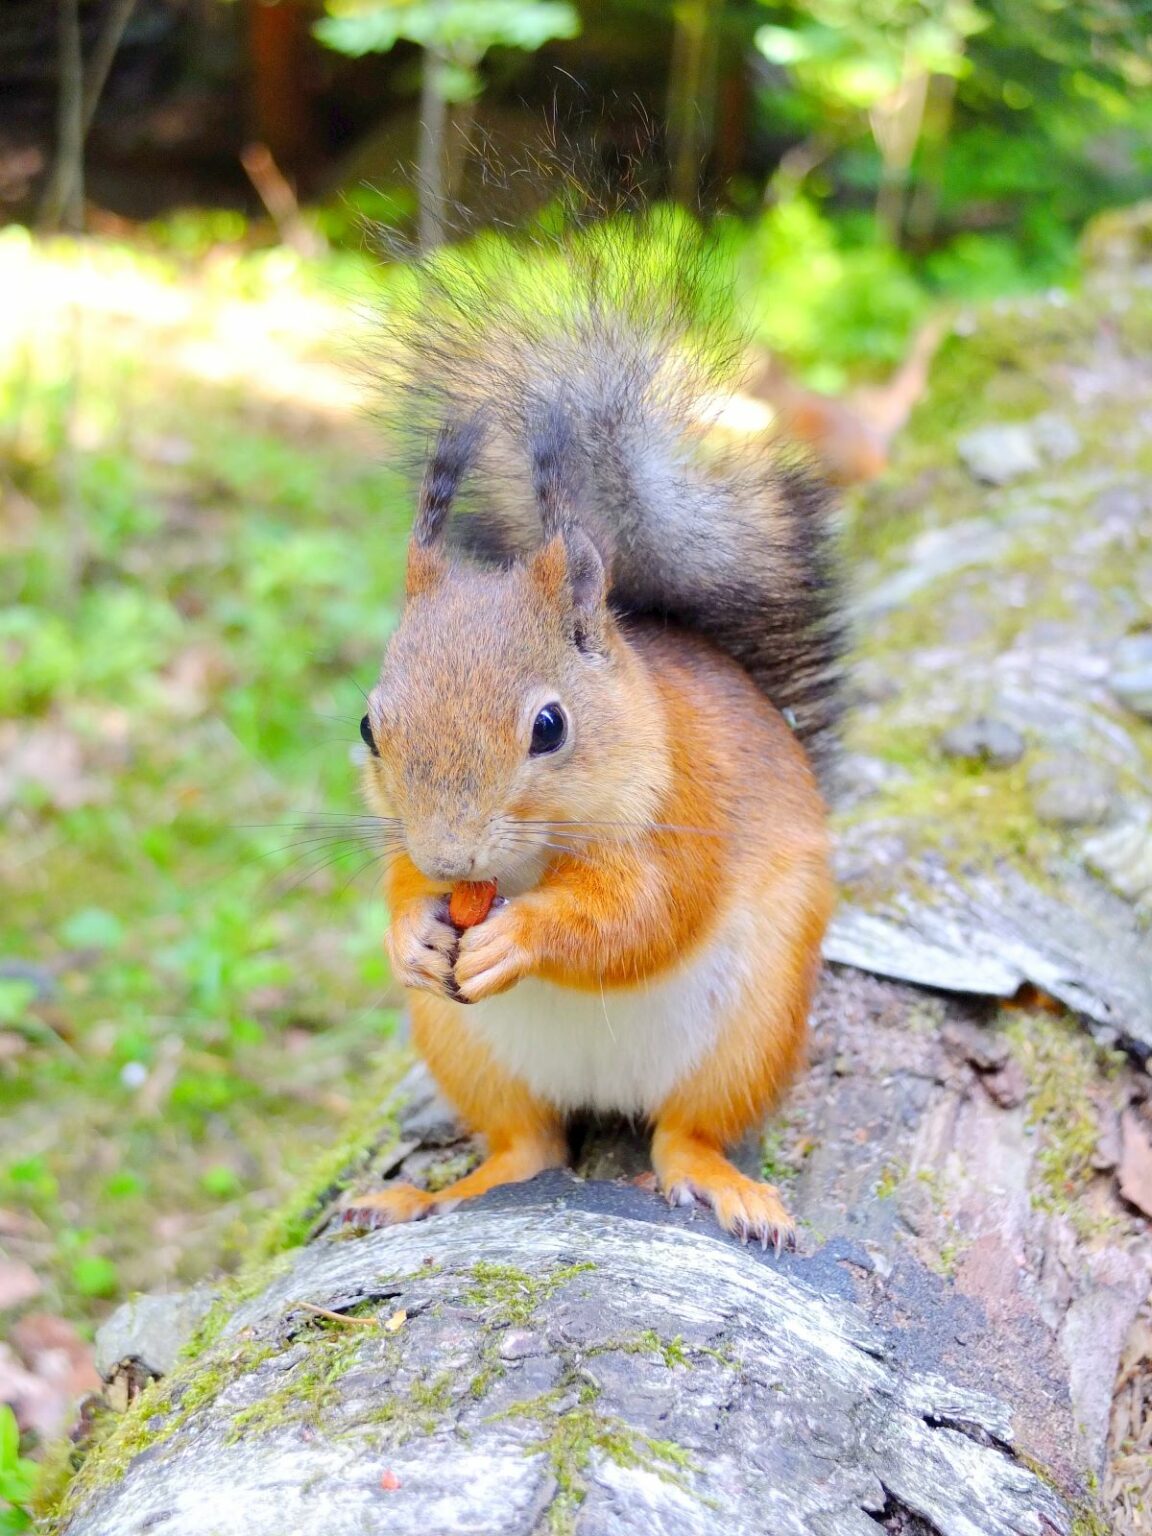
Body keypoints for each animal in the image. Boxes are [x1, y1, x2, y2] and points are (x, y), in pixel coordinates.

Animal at [346, 217, 844, 1248]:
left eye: (549, 726)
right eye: (370, 726)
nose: (453, 861)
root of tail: (604, 1089)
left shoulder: (686, 805)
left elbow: (643, 914)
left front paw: (522, 936)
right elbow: (399, 883)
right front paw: (410, 931)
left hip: (751, 1031)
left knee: (684, 1134)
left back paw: (725, 1186)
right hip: (466, 1050)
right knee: (528, 1145)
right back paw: (429, 1193)